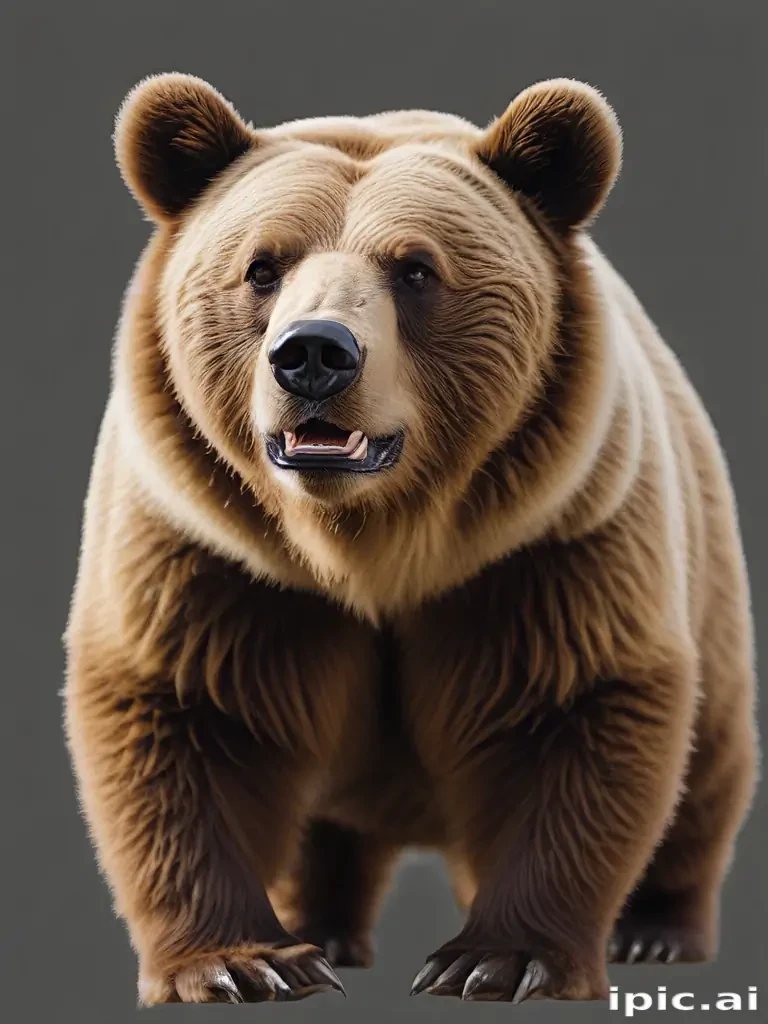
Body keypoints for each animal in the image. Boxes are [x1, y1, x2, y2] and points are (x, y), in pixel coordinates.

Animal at [64, 72, 759, 1006]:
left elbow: (577, 710)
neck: (371, 543)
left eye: (416, 268)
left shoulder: (554, 546)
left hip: (707, 566)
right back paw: (320, 924)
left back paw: (655, 929)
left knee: (707, 762)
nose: (314, 354)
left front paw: (501, 959)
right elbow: (182, 713)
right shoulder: (209, 553)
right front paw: (241, 962)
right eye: (261, 266)